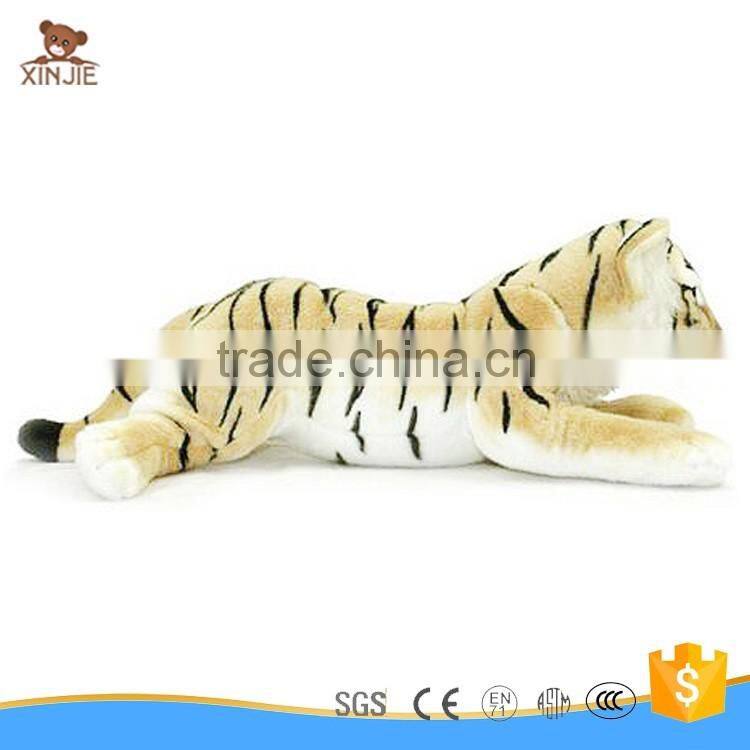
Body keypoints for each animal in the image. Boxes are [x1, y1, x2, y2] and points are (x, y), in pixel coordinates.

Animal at [18, 217, 728, 499]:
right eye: (693, 293)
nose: (725, 341)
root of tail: (203, 304)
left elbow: (634, 413)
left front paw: (669, 408)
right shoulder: (523, 417)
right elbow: (617, 436)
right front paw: (709, 451)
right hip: (225, 412)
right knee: (141, 436)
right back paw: (110, 467)